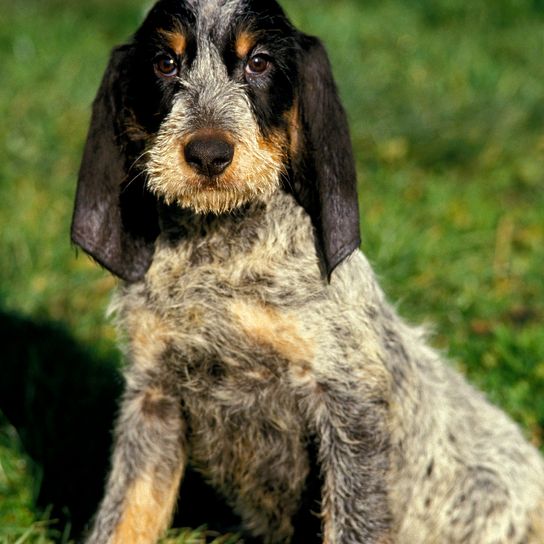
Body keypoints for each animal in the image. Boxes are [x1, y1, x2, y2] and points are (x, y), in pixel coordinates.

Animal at [71, 0, 544, 540]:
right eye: (165, 64)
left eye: (259, 63)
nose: (208, 154)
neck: (218, 251)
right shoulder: (154, 398)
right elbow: (125, 514)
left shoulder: (348, 405)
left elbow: (354, 521)